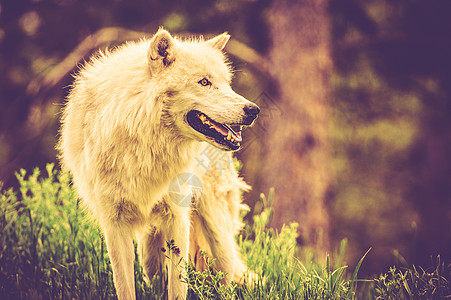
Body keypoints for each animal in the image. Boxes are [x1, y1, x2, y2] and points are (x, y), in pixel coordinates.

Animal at [58, 28, 260, 300]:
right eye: (204, 82)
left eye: (227, 83)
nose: (253, 110)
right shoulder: (114, 224)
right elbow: (125, 286)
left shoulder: (177, 218)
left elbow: (178, 286)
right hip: (149, 255)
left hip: (218, 239)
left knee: (225, 283)